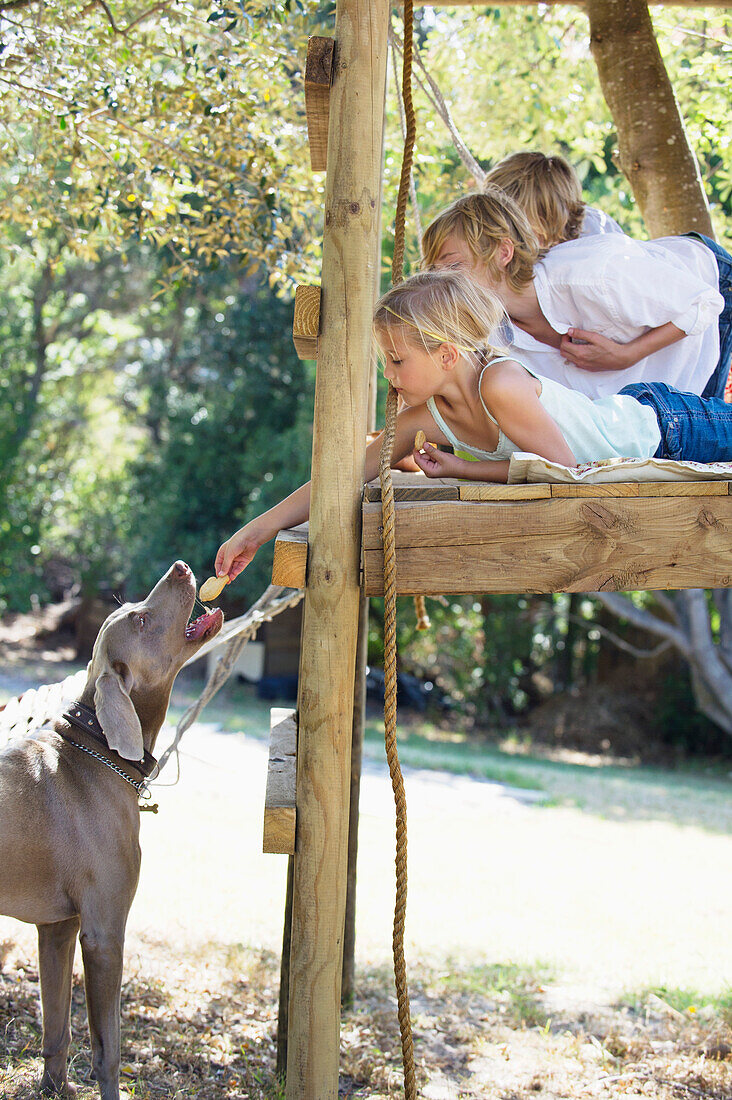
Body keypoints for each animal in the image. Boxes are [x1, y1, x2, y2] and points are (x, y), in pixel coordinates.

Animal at [0, 563, 222, 1100]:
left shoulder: (57, 928)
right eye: (140, 620)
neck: (97, 747)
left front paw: (53, 1090)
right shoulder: (103, 930)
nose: (181, 568)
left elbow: (56, 1029)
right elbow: (108, 1051)